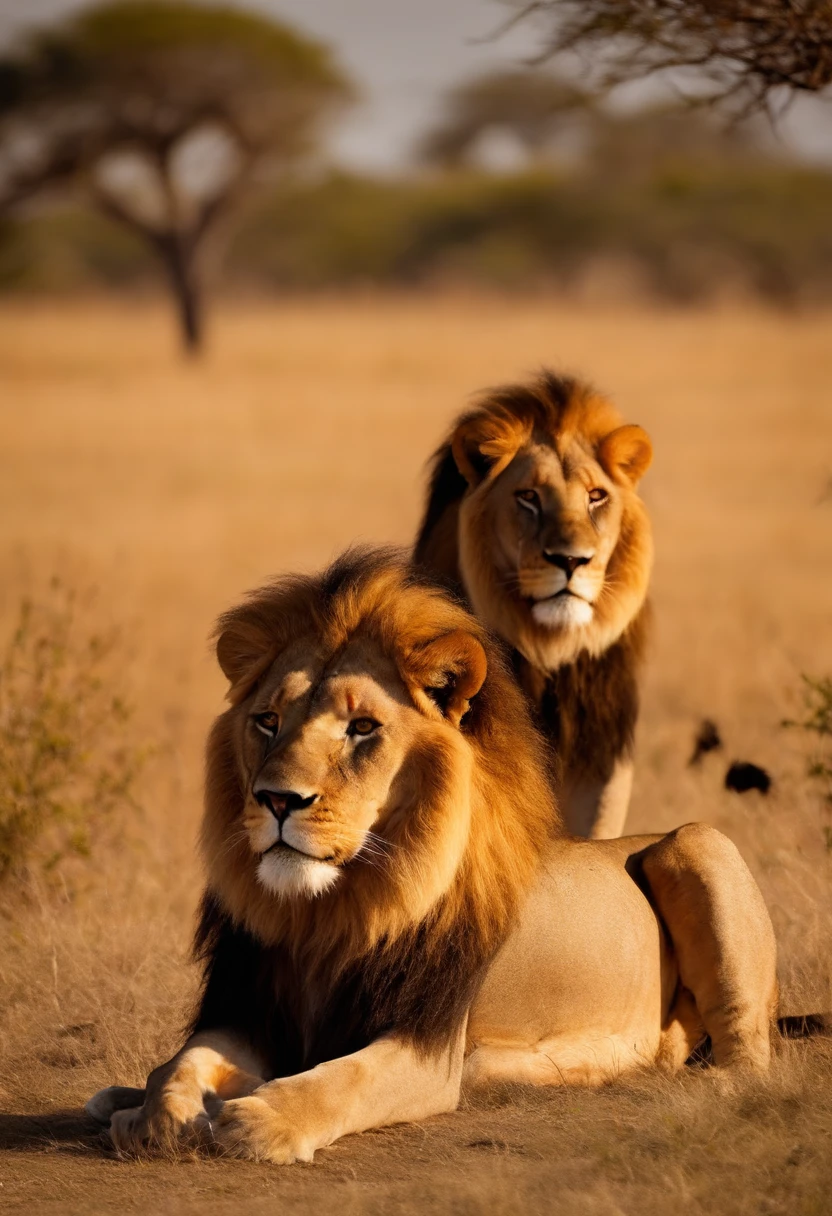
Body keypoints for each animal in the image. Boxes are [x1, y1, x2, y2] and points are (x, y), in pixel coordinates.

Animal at [87, 547, 783, 1162]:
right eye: (267, 720)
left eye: (362, 728)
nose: (277, 799)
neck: (326, 914)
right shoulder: (248, 1009)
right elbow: (179, 1063)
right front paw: (155, 1118)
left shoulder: (428, 1044)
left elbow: (346, 1077)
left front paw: (264, 1118)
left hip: (697, 843)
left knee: (748, 1055)